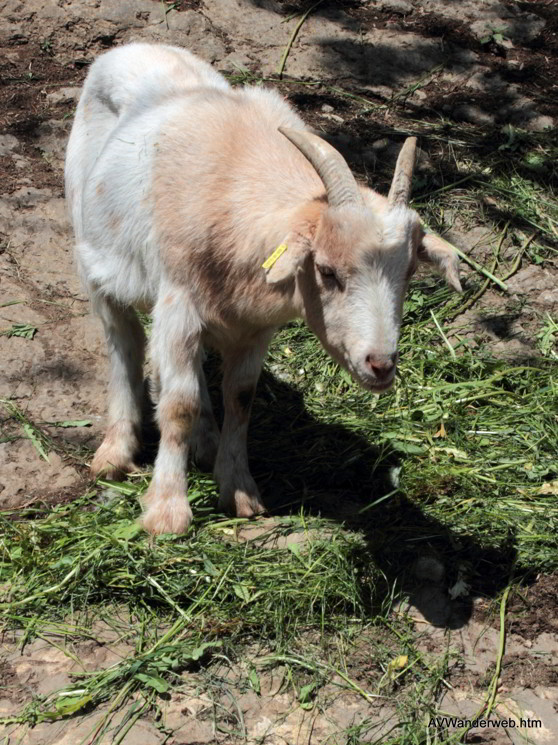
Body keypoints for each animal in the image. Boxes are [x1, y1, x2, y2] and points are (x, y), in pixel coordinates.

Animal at [64, 43, 464, 536]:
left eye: (408, 273)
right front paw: (167, 511)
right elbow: (179, 405)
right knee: (124, 342)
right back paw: (116, 451)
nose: (381, 365)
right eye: (327, 272)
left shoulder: (253, 326)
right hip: (92, 249)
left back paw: (204, 441)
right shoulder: (177, 301)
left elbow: (241, 396)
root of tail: (133, 47)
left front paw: (239, 490)